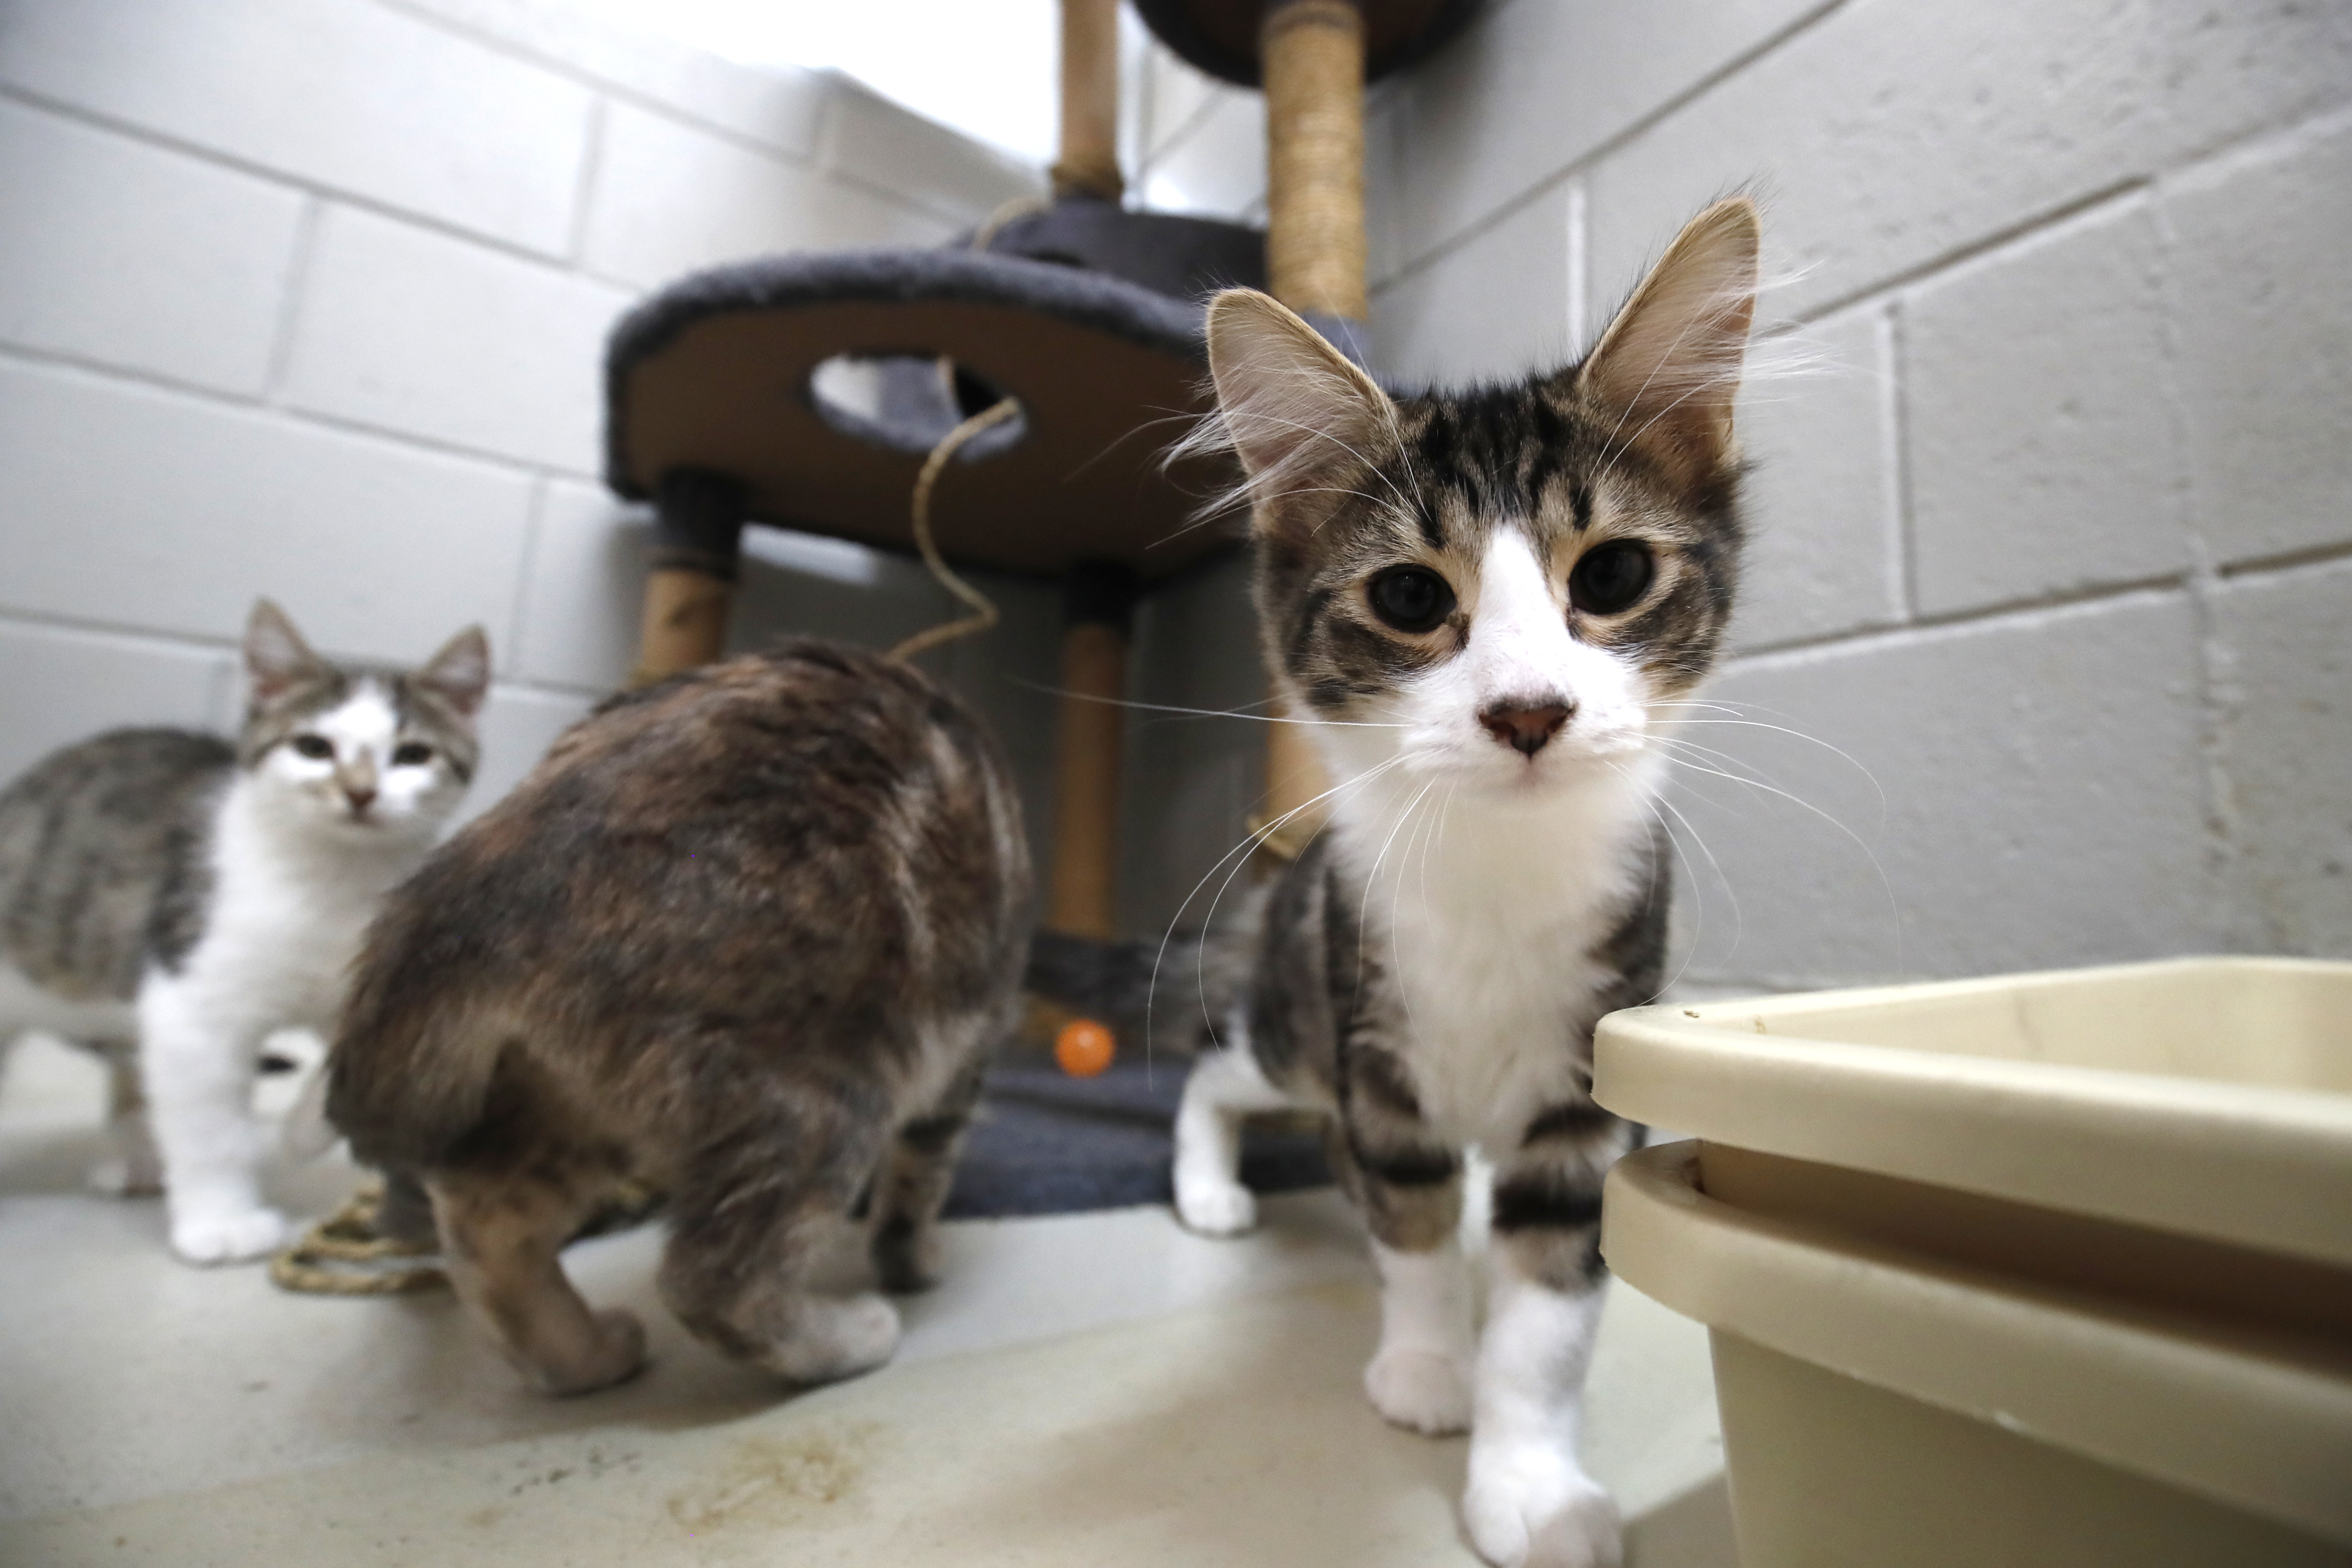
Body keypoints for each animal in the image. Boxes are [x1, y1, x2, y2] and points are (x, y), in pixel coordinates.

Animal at [0, 601, 487, 1260]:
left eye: (413, 754)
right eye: (314, 747)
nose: (359, 792)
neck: (335, 879)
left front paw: (302, 1133)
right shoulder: (192, 995)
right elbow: (208, 1121)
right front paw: (221, 1221)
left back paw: (137, 1152)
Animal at [1185, 202, 1759, 1561]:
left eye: (1609, 576)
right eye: (1408, 594)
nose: (1527, 709)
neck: (1499, 875)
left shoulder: (1587, 1090)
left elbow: (1545, 1305)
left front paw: (1530, 1481)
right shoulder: (1375, 1060)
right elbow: (1409, 1225)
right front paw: (1426, 1367)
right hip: (1299, 1019)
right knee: (1214, 1068)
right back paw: (1207, 1186)